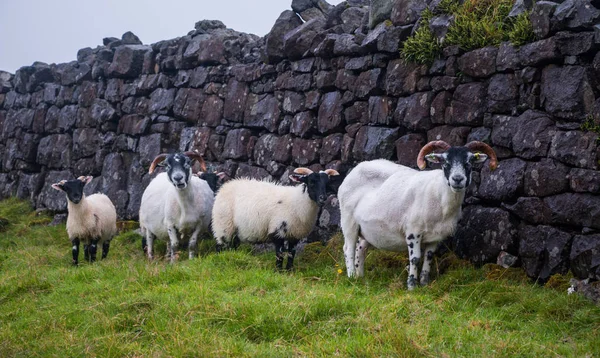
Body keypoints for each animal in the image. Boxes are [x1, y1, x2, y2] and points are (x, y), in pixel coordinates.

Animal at [338, 141, 496, 290]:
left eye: (469, 161)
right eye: (445, 162)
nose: (457, 179)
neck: (439, 195)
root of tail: (357, 167)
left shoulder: (436, 236)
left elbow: (428, 257)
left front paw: (424, 283)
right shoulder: (413, 231)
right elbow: (415, 258)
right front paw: (412, 286)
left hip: (366, 229)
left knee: (360, 249)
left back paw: (360, 277)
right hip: (348, 221)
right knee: (348, 249)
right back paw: (351, 276)